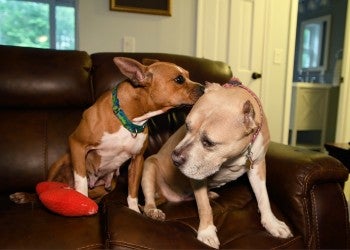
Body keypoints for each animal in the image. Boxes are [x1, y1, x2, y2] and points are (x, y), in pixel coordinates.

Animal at [10, 57, 204, 211]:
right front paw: (81, 202)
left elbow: (132, 192)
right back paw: (28, 196)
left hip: (106, 186)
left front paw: (134, 210)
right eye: (179, 79)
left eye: (188, 75)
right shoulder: (77, 144)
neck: (128, 119)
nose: (203, 88)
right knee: (44, 187)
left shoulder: (137, 160)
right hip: (60, 162)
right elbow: (81, 182)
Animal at [142, 82, 292, 248]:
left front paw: (272, 223)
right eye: (187, 126)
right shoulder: (197, 176)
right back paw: (152, 210)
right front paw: (207, 232)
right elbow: (204, 207)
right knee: (148, 199)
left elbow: (263, 198)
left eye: (208, 142)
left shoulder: (257, 167)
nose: (174, 159)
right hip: (149, 166)